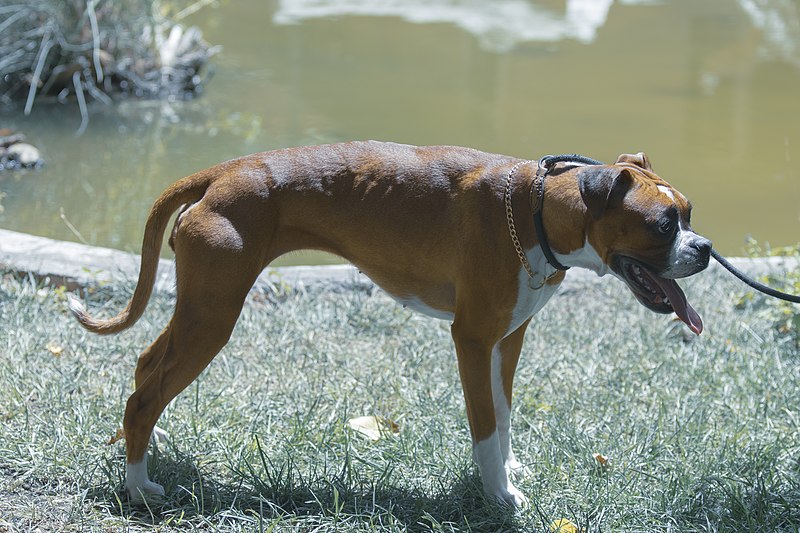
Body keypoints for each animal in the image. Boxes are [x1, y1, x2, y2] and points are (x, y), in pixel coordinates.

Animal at [67, 140, 708, 502]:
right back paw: (140, 488)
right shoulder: (472, 341)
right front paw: (499, 496)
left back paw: (143, 454)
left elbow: (502, 417)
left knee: (146, 369)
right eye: (661, 225)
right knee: (144, 398)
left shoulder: (508, 341)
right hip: (212, 318)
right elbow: (484, 427)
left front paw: (507, 471)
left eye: (689, 214)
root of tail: (223, 172)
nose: (703, 248)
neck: (535, 207)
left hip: (199, 311)